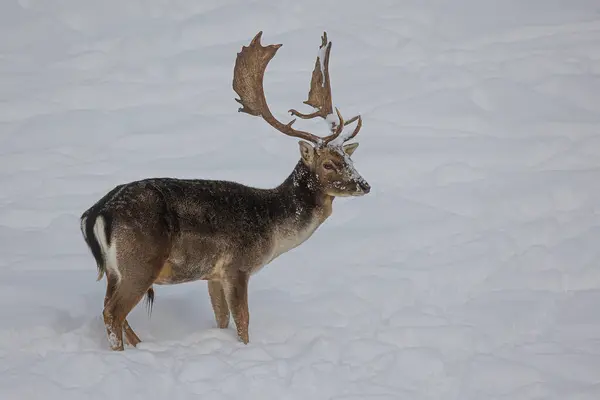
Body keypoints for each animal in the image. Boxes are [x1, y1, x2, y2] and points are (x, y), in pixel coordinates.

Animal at [79, 31, 370, 350]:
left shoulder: (213, 275)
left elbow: (221, 319)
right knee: (112, 312)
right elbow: (243, 321)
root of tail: (98, 212)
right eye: (329, 164)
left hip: (115, 270)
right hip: (140, 262)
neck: (273, 226)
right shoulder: (237, 266)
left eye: (350, 159)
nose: (364, 185)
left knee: (112, 310)